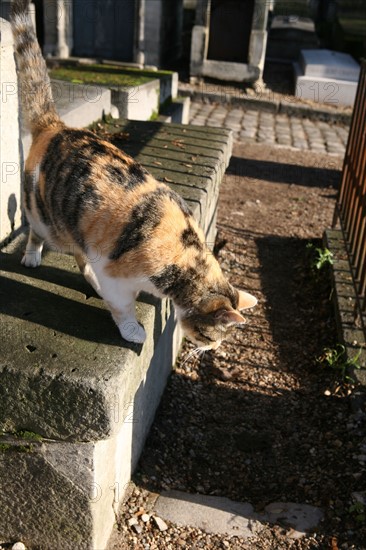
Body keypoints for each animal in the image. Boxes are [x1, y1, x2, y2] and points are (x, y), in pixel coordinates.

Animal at [11, 0, 258, 350]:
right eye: (212, 334)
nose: (211, 348)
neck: (186, 253)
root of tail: (56, 126)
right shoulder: (116, 275)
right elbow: (123, 306)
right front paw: (133, 330)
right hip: (48, 218)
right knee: (36, 232)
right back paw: (33, 256)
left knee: (81, 256)